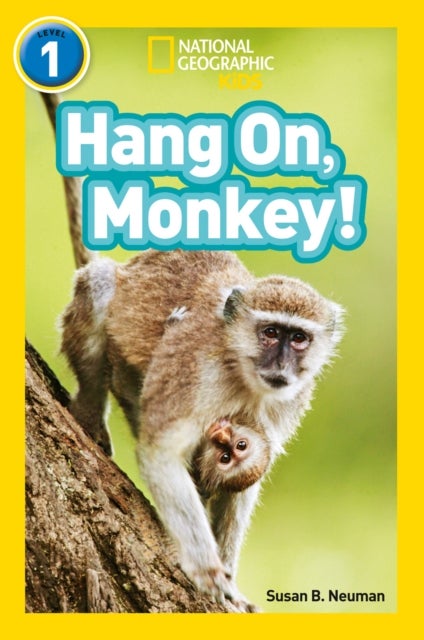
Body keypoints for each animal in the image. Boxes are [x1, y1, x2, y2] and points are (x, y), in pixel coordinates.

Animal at [43, 92, 345, 612]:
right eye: (271, 333)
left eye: (299, 339)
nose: (282, 365)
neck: (243, 375)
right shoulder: (193, 370)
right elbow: (163, 451)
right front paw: (208, 569)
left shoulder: (287, 404)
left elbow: (246, 483)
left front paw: (231, 584)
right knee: (100, 284)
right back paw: (89, 409)